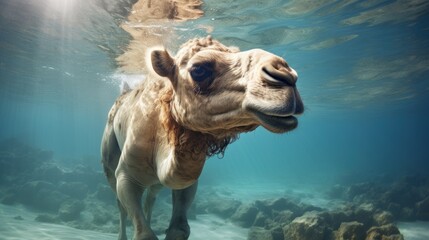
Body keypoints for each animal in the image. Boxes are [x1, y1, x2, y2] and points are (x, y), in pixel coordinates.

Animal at [100, 36, 302, 240]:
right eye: (199, 70)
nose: (286, 74)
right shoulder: (126, 176)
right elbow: (143, 233)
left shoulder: (187, 182)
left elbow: (179, 228)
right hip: (109, 157)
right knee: (120, 203)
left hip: (154, 181)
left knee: (152, 196)